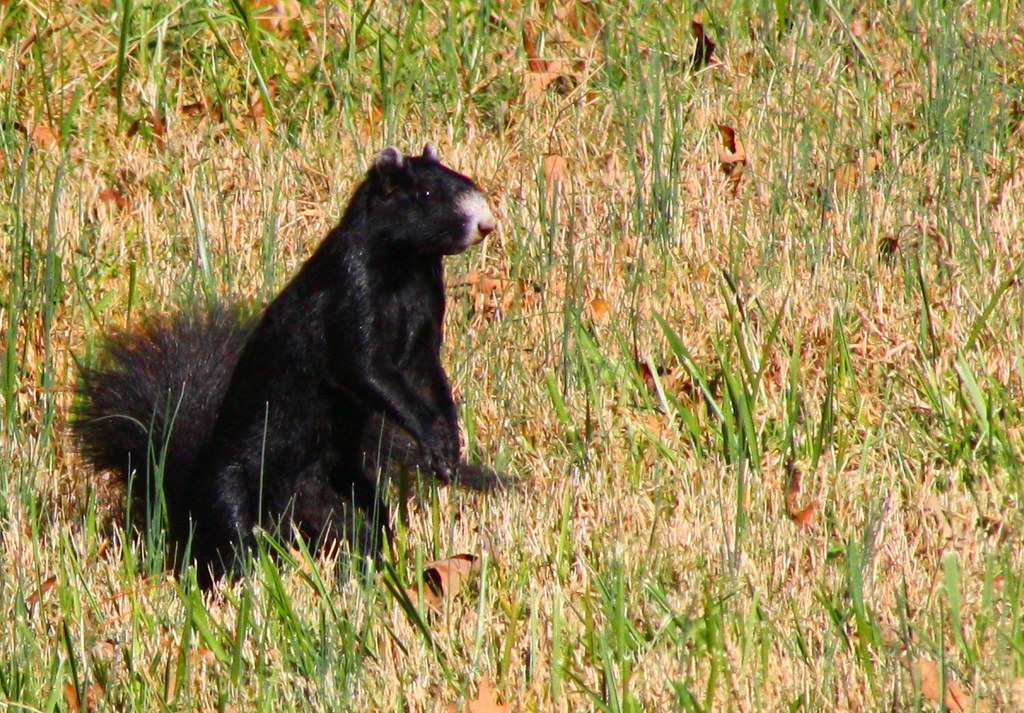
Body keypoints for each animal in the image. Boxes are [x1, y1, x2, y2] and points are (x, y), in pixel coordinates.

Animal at [73, 144, 506, 586]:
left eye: (464, 179)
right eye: (426, 195)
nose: (485, 224)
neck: (406, 267)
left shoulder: (424, 325)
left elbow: (429, 379)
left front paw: (449, 441)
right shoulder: (348, 288)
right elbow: (365, 370)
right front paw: (431, 437)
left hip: (345, 494)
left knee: (361, 526)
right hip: (230, 489)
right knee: (228, 541)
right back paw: (240, 582)